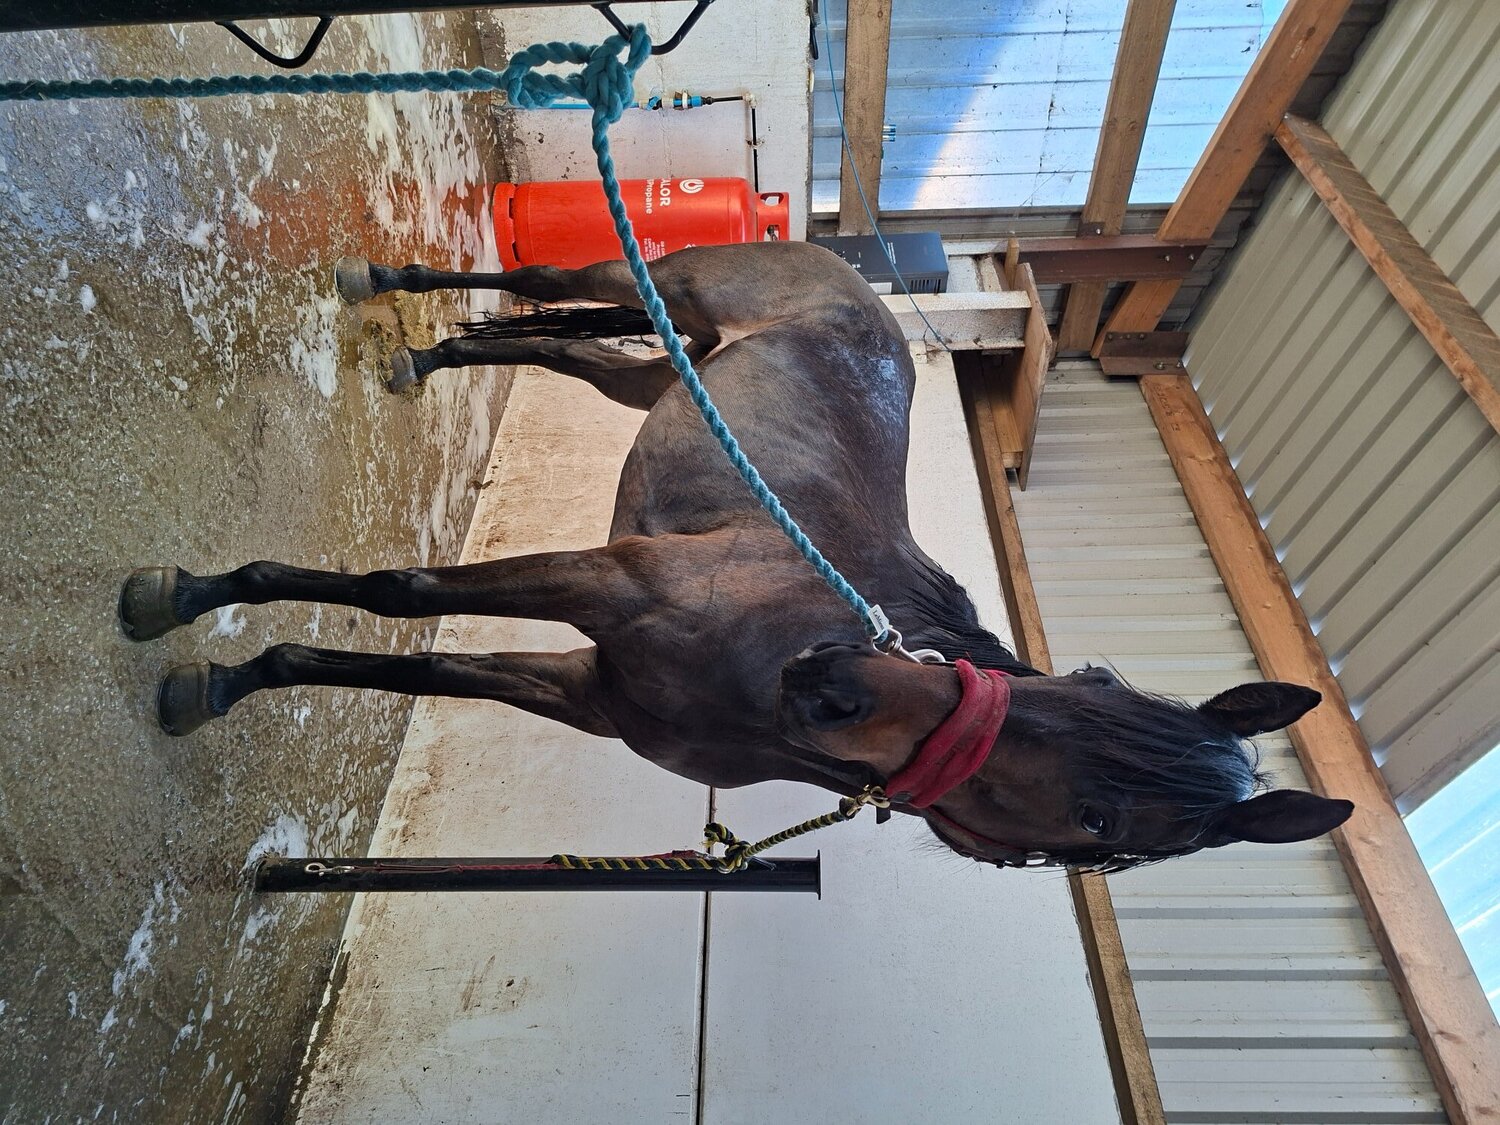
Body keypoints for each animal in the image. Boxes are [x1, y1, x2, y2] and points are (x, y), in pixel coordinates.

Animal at [118, 241, 1352, 870]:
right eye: (1085, 686)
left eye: (1103, 833)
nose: (835, 686)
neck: (763, 672)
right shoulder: (602, 580)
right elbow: (400, 591)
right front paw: (191, 602)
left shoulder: (586, 688)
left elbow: (420, 662)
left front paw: (227, 674)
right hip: (658, 287)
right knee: (542, 287)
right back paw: (388, 292)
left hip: (652, 368)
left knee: (553, 344)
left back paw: (426, 358)